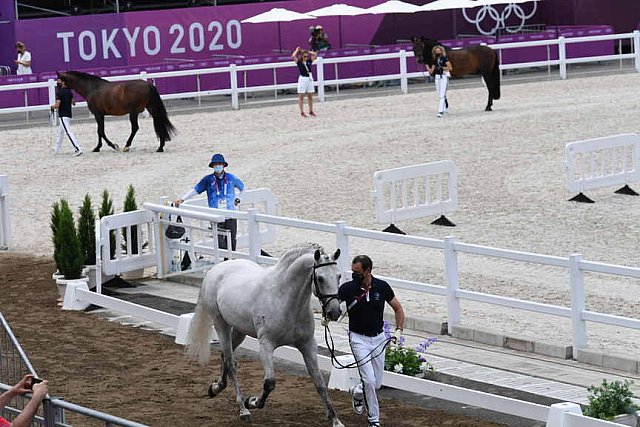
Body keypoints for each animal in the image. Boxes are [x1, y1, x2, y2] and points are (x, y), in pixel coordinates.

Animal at [186, 242, 344, 426]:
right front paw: (252, 401)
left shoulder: (307, 345)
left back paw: (216, 388)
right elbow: (269, 383)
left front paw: (335, 420)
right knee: (231, 363)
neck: (284, 298)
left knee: (225, 357)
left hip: (239, 330)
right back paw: (243, 409)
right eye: (320, 278)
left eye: (339, 276)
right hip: (221, 324)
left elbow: (319, 383)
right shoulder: (266, 345)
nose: (334, 312)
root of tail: (215, 270)